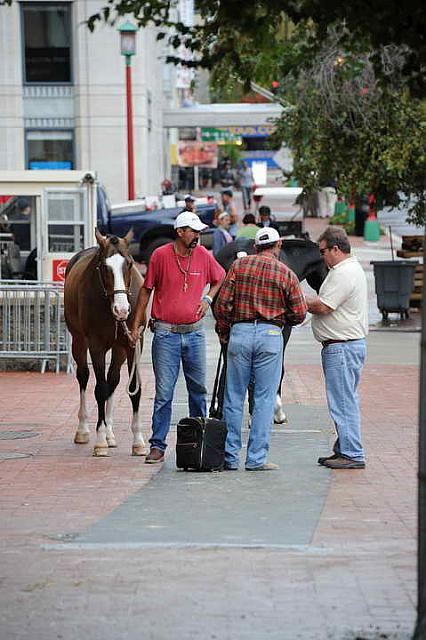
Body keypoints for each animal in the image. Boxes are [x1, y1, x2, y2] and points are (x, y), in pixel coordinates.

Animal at [64, 229, 147, 456]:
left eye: (129, 263)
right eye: (103, 266)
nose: (122, 309)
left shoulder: (133, 343)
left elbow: (133, 388)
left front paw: (138, 441)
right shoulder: (96, 345)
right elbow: (100, 389)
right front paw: (100, 440)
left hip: (119, 348)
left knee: (113, 379)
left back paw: (110, 433)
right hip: (78, 340)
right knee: (83, 376)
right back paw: (83, 429)